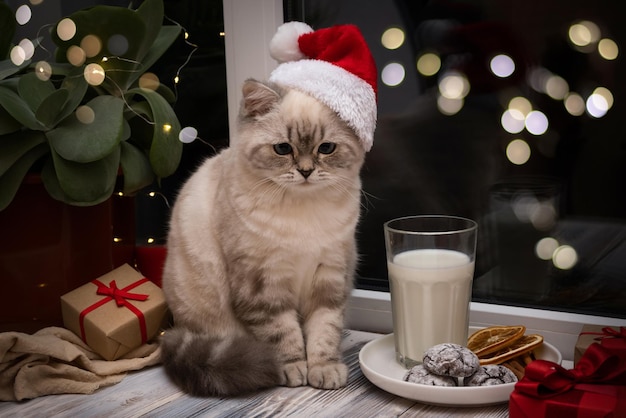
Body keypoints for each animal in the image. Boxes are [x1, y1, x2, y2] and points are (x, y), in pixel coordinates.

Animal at [160, 78, 366, 396]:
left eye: (326, 148)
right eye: (282, 149)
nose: (306, 171)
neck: (304, 213)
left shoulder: (329, 276)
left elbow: (324, 331)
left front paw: (324, 369)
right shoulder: (263, 282)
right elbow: (282, 333)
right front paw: (292, 369)